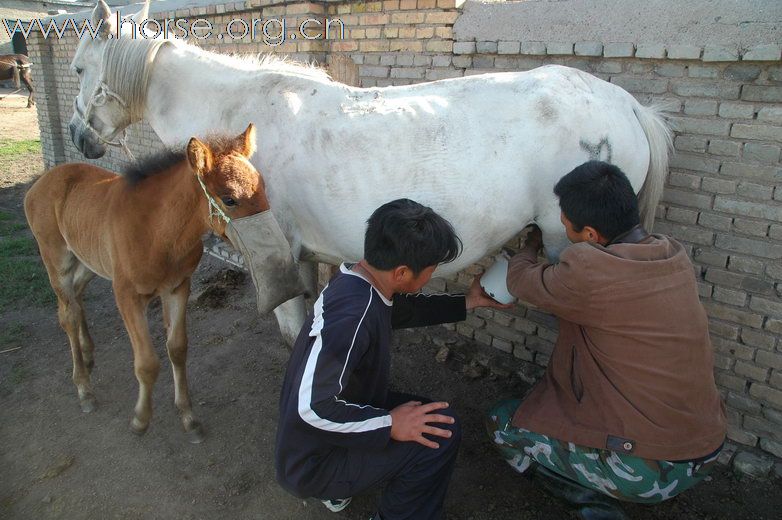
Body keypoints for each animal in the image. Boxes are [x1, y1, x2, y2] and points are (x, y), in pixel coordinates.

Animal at [25, 124, 270, 440]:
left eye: (263, 187)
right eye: (229, 199)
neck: (158, 231)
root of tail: (40, 182)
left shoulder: (178, 287)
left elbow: (177, 349)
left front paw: (188, 418)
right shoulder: (126, 296)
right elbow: (147, 363)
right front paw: (141, 419)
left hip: (90, 261)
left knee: (78, 300)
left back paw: (88, 356)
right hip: (57, 262)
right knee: (67, 314)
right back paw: (84, 388)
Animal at [69, 2, 672, 346]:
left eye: (77, 68)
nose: (78, 138)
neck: (238, 122)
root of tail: (626, 103)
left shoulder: (277, 255)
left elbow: (293, 331)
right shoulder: (303, 257)